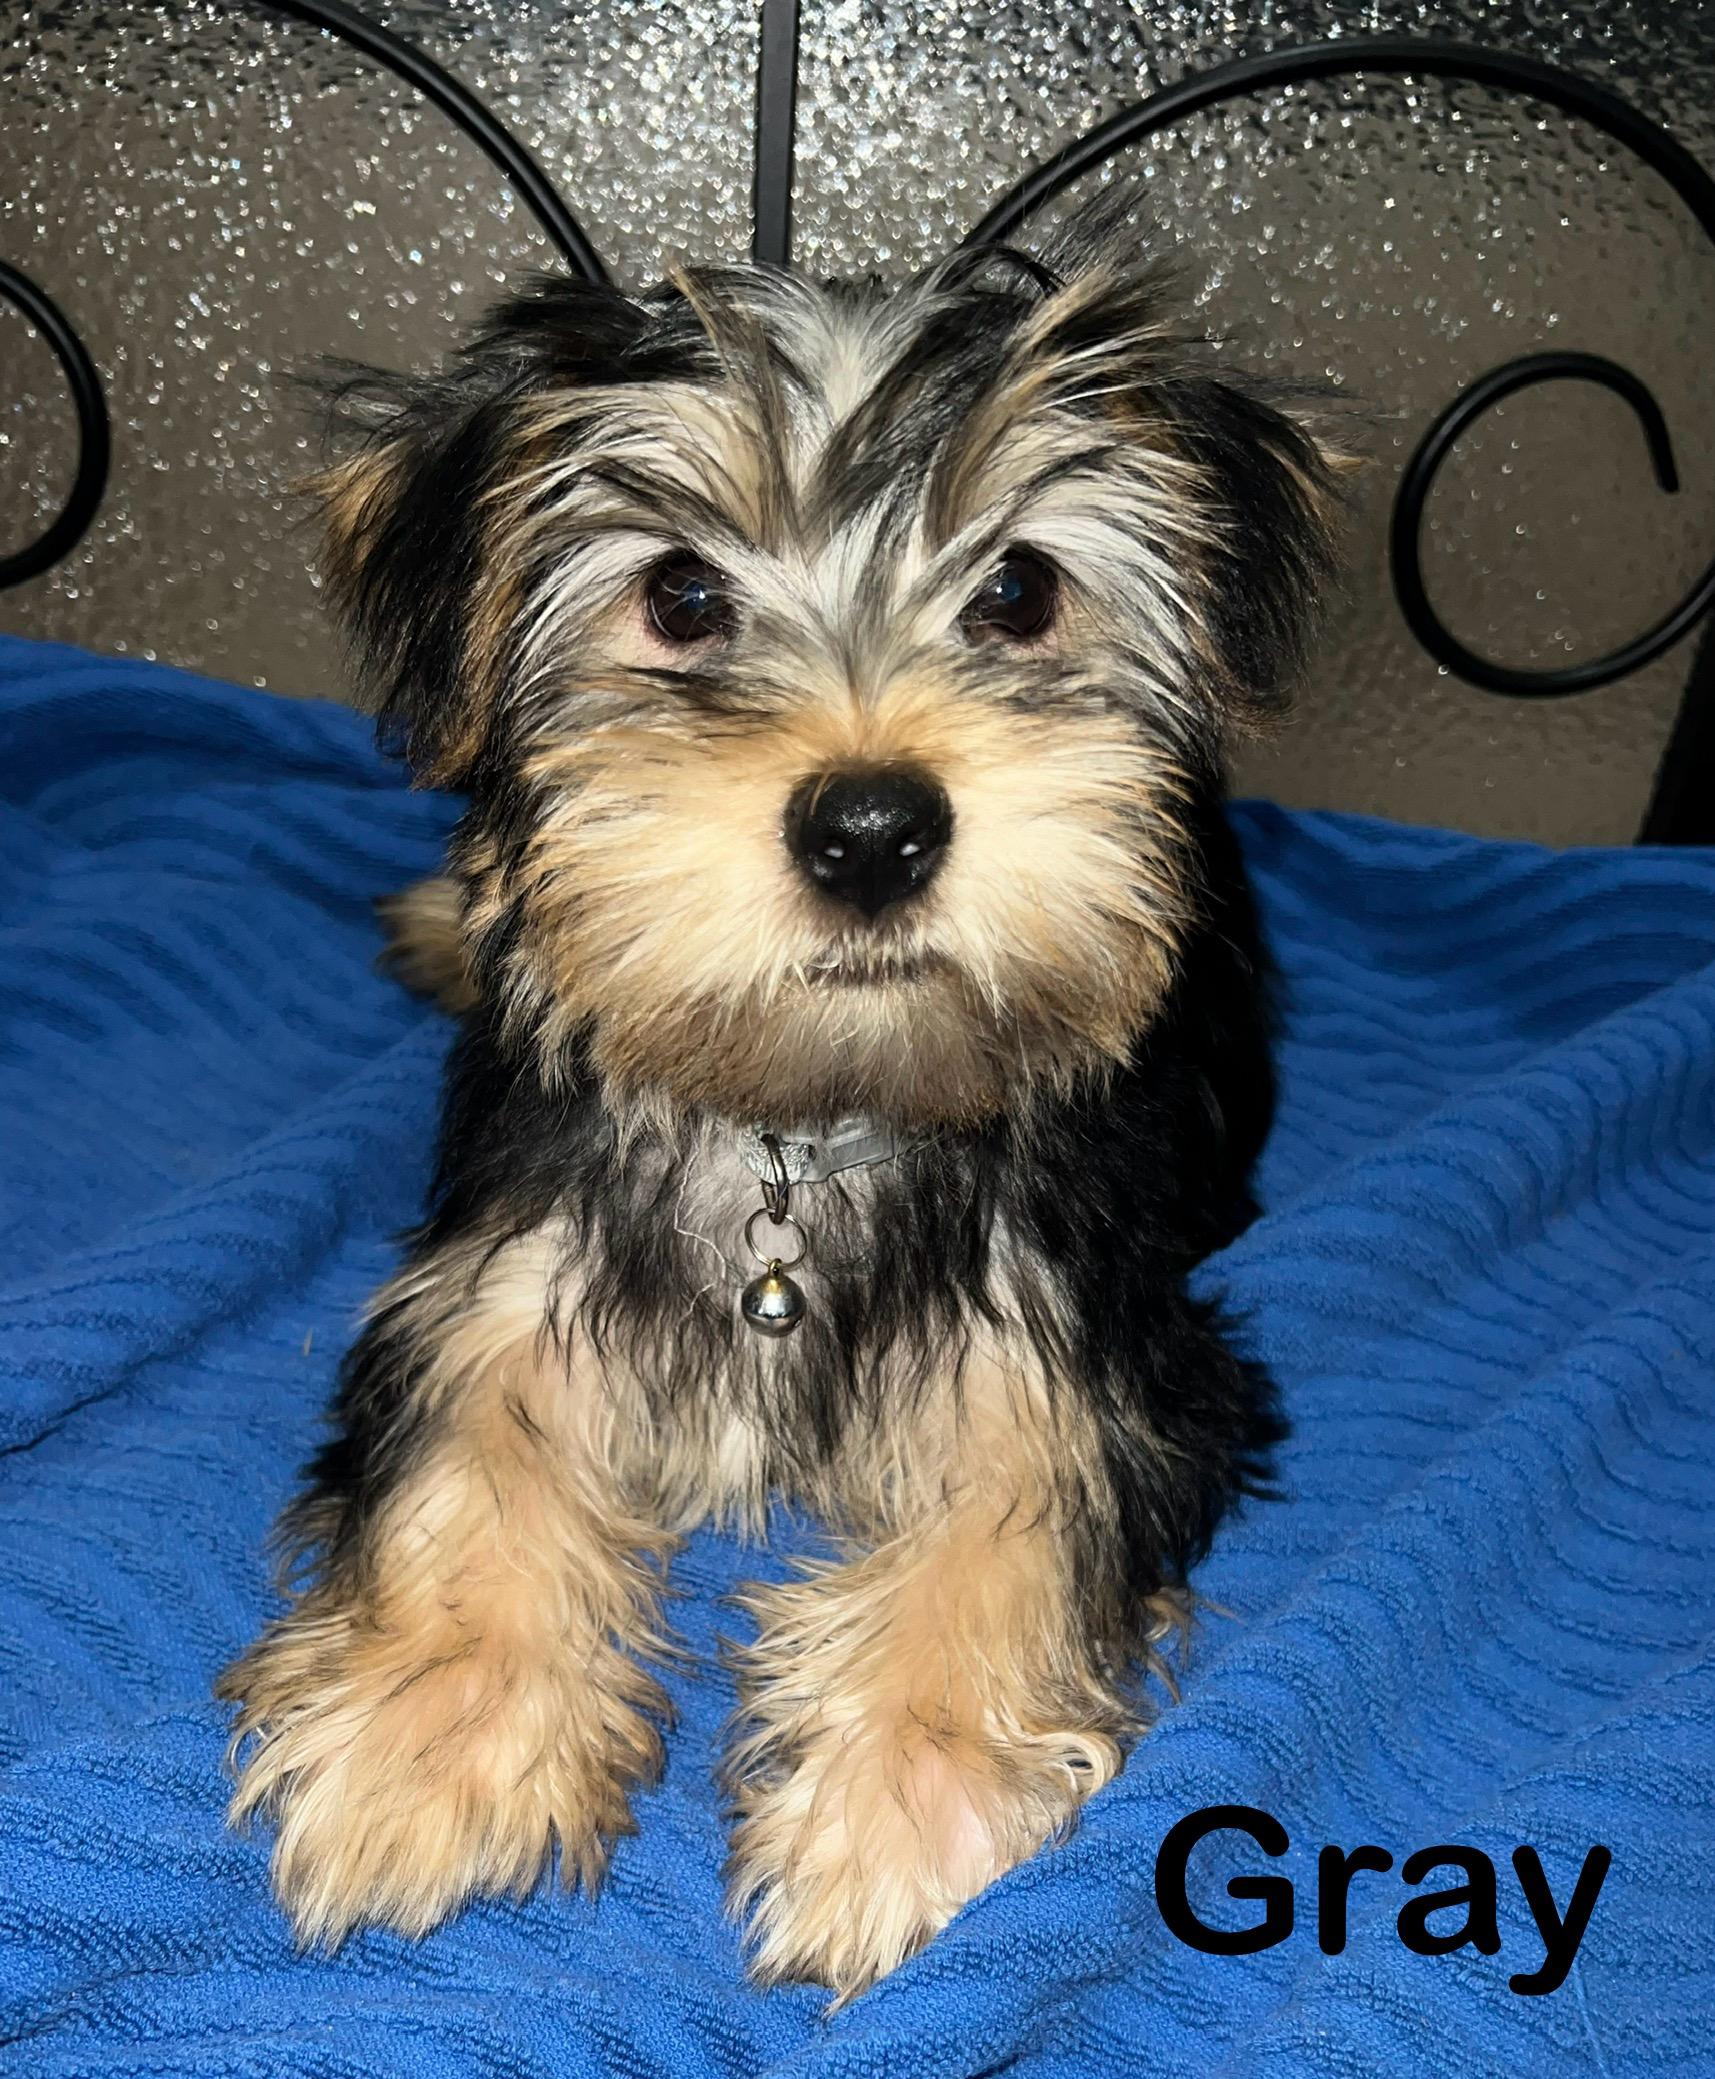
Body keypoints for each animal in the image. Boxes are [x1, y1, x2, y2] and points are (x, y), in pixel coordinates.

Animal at [217, 226, 1344, 2000]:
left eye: (1018, 588)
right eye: (679, 594)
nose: (872, 824)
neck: (807, 1106)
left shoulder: (1092, 1331)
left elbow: (1020, 1502)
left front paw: (902, 1789)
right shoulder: (503, 1263)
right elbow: (469, 1442)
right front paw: (430, 1734)